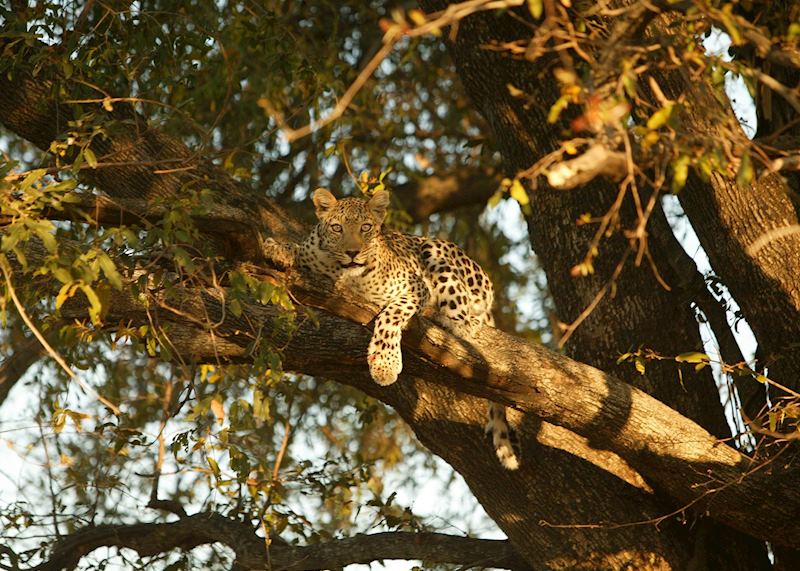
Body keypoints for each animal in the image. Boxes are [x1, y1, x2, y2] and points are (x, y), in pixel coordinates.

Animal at [262, 188, 520, 470]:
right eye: (337, 228)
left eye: (366, 227)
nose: (353, 252)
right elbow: (300, 251)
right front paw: (277, 247)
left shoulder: (416, 286)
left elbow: (391, 314)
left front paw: (384, 364)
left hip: (438, 253)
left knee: (464, 321)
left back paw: (444, 316)